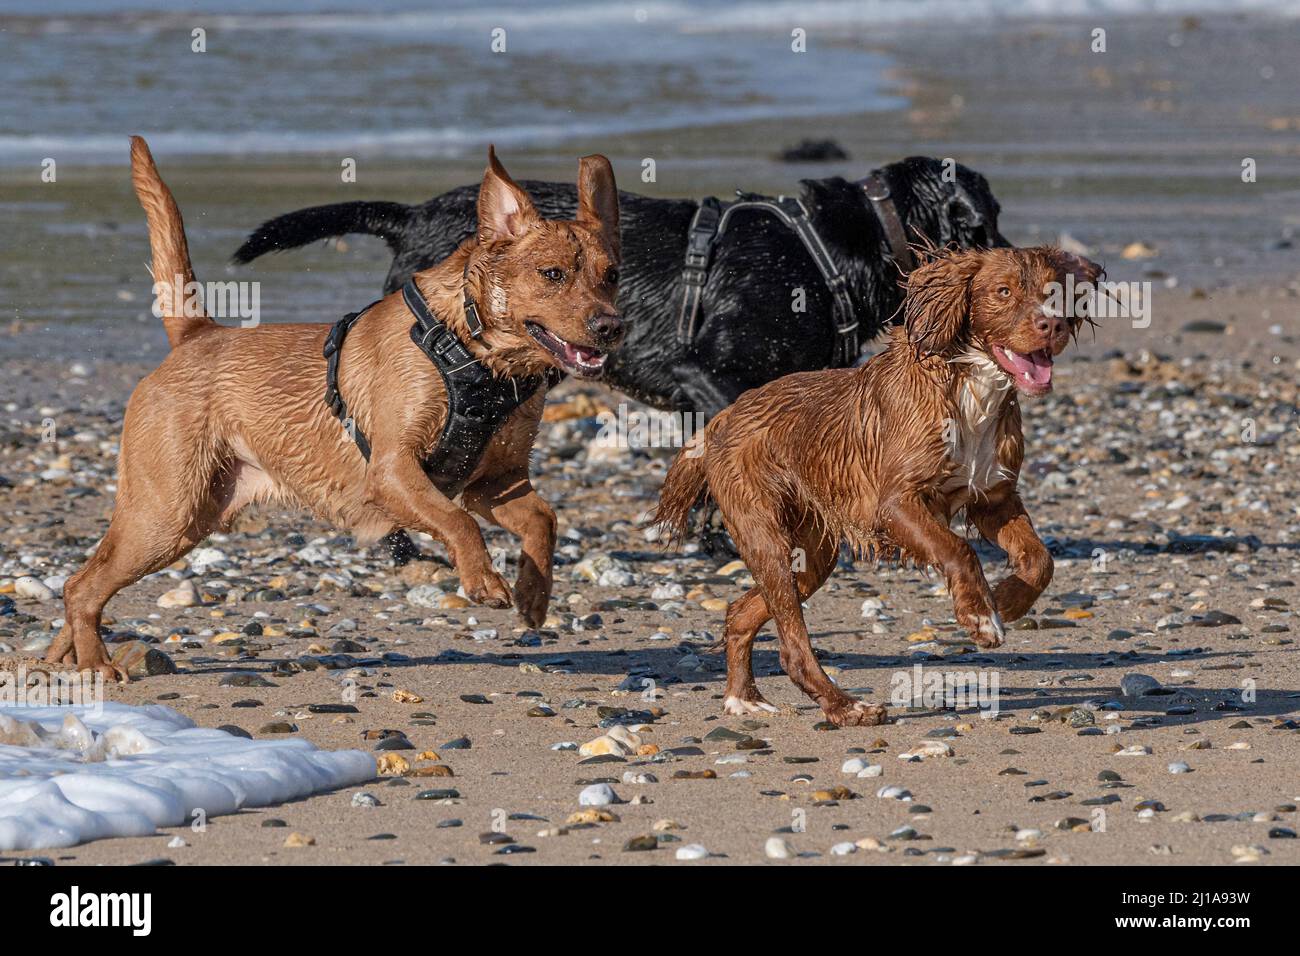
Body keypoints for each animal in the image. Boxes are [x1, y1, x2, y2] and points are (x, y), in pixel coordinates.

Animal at [49, 138, 618, 686]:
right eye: (552, 274)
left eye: (612, 276)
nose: (611, 326)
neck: (480, 356)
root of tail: (196, 334)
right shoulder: (393, 470)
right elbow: (459, 523)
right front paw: (483, 581)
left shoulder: (495, 482)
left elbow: (543, 520)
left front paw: (534, 595)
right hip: (167, 514)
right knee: (82, 585)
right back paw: (94, 664)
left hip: (183, 518)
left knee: (83, 587)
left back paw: (61, 656)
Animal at [655, 244, 1102, 723]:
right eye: (1003, 291)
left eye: (1054, 292)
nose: (1052, 324)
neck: (970, 388)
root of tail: (723, 415)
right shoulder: (895, 503)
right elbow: (958, 550)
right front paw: (980, 617)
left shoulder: (994, 497)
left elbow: (1040, 560)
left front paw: (1008, 600)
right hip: (766, 534)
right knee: (792, 645)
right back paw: (845, 706)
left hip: (811, 554)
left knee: (742, 612)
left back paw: (744, 697)